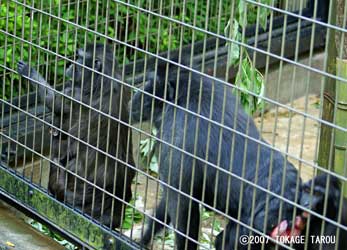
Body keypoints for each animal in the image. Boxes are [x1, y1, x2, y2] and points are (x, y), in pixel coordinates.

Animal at [17, 43, 136, 229]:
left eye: (79, 58)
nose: (70, 65)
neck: (104, 74)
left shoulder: (75, 93)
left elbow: (54, 102)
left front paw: (30, 72)